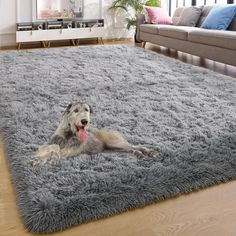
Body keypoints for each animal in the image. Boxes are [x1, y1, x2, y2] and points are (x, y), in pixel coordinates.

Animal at [30, 102, 159, 166]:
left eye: (86, 110)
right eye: (76, 110)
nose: (84, 121)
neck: (69, 133)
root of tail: (113, 131)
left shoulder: (68, 150)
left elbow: (56, 149)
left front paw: (43, 159)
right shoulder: (50, 143)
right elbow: (51, 147)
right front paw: (40, 158)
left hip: (116, 143)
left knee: (135, 146)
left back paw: (148, 152)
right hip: (112, 149)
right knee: (130, 149)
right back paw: (138, 154)